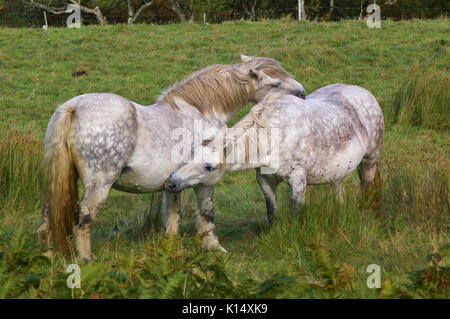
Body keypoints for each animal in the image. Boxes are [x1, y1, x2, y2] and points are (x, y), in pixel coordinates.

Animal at [39, 55, 306, 260]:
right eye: (276, 83)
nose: (302, 93)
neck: (200, 111)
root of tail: (74, 108)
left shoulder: (173, 183)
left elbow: (173, 216)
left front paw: (171, 247)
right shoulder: (205, 181)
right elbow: (207, 213)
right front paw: (214, 248)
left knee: (47, 219)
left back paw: (50, 257)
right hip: (99, 184)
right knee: (84, 219)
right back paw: (86, 259)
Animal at [167, 84, 384, 228]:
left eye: (209, 167)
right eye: (191, 155)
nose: (172, 182)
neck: (274, 135)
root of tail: (365, 93)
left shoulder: (298, 180)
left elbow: (296, 209)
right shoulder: (265, 179)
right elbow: (271, 209)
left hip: (369, 161)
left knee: (366, 186)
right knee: (338, 186)